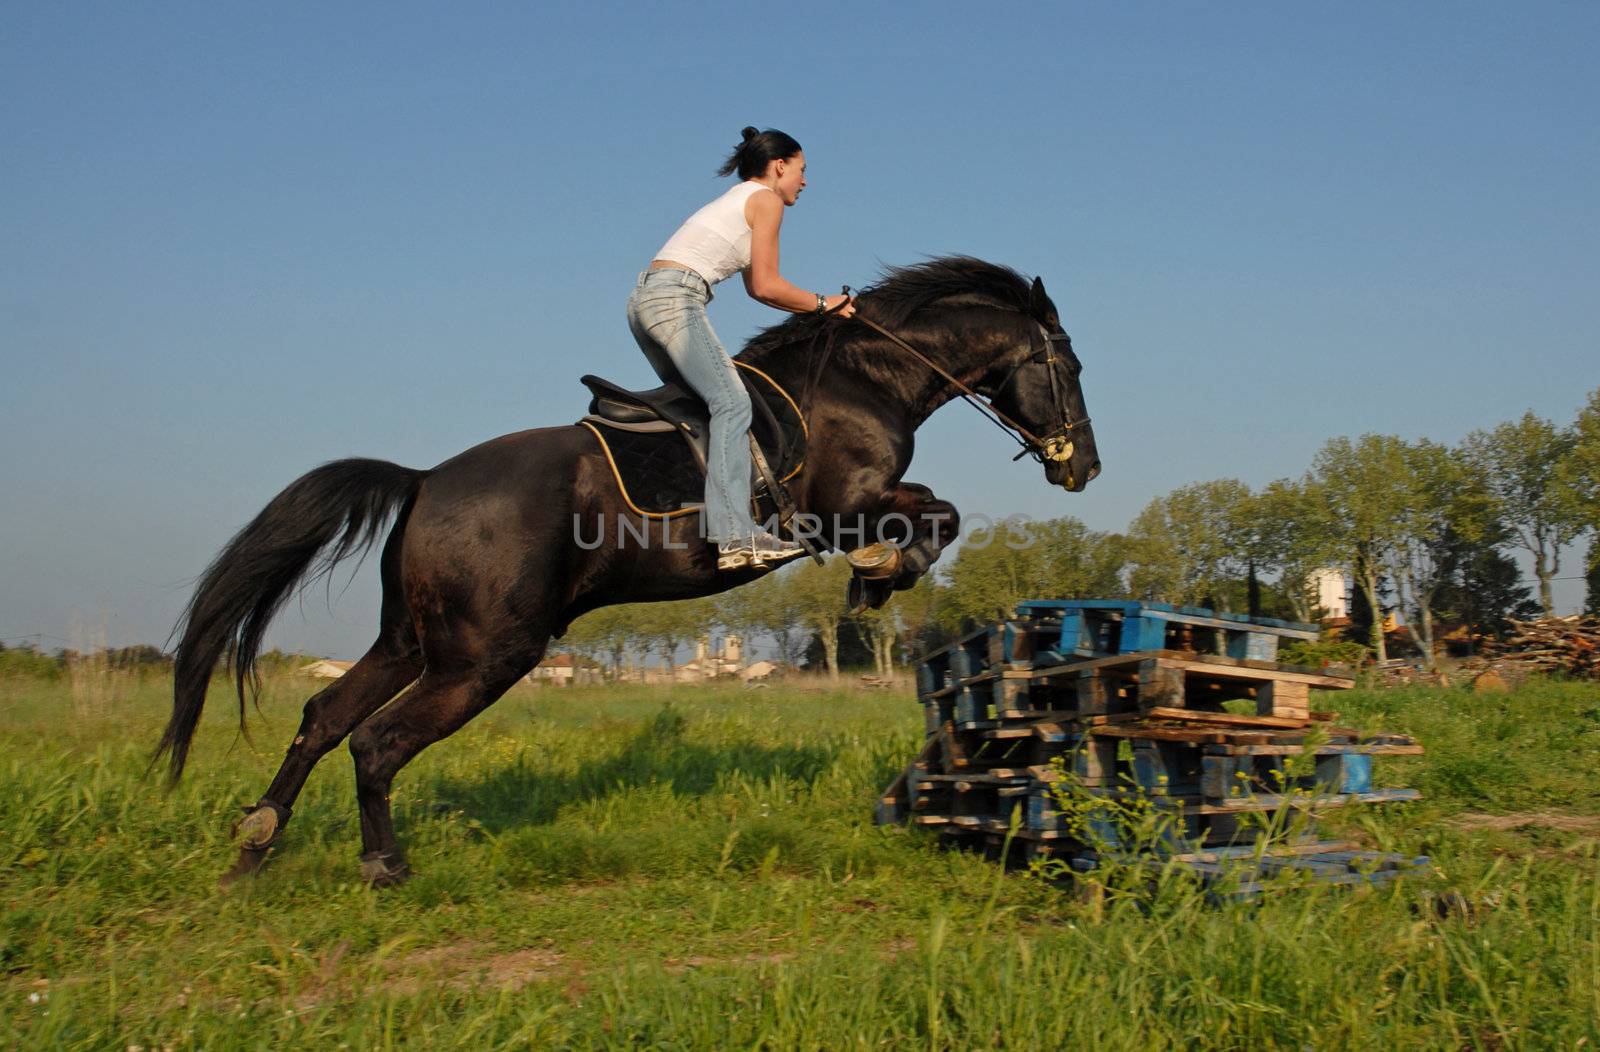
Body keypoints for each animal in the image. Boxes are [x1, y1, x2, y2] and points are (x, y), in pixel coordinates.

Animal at [156, 255, 1100, 882]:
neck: (864, 378)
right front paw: (876, 575)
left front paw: (877, 581)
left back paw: (258, 841)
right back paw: (383, 865)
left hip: (413, 640)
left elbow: (936, 514)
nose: (1082, 467)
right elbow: (933, 515)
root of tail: (422, 481)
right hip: (486, 654)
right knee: (377, 741)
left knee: (323, 718)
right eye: (1071, 367)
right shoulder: (847, 501)